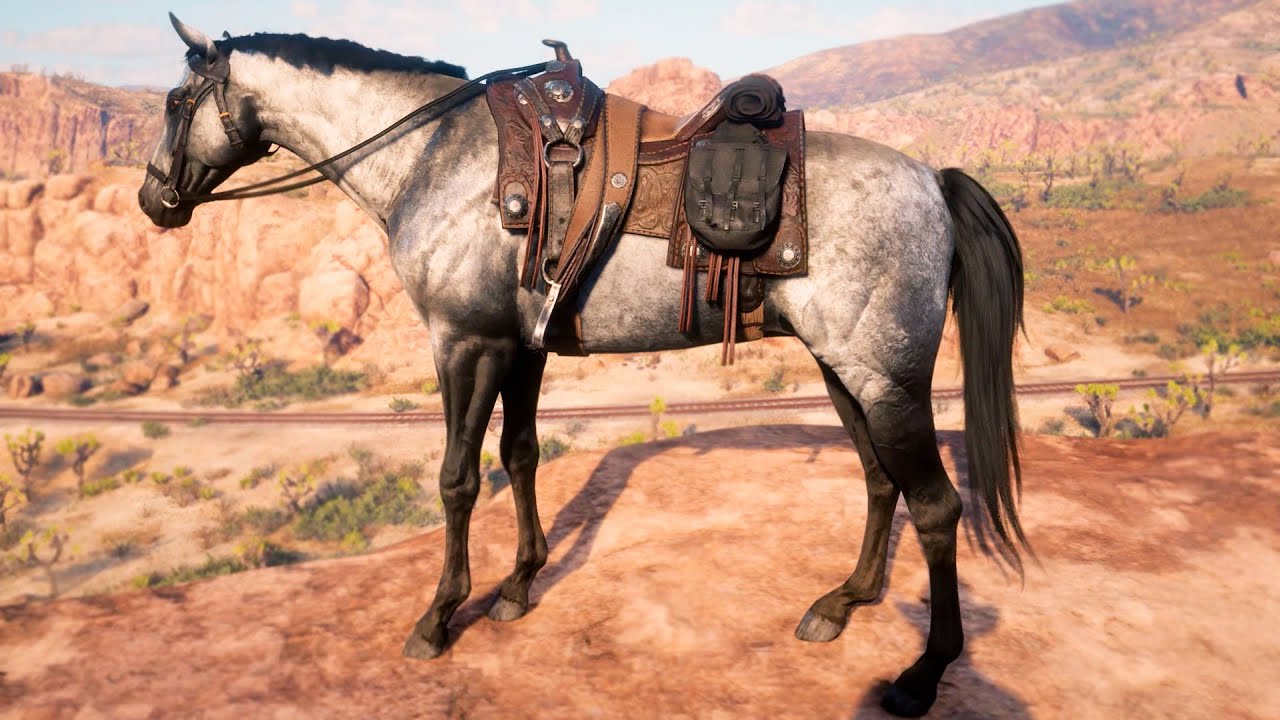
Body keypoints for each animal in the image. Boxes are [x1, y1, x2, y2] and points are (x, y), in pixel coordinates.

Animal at [138, 16, 1029, 717]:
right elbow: (522, 455)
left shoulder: (466, 343)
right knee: (880, 481)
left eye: (178, 103)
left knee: (936, 506)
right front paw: (520, 585)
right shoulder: (521, 344)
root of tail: (932, 179)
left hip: (888, 379)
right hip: (846, 370)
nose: (154, 200)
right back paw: (844, 602)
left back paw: (921, 675)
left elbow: (458, 479)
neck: (432, 156)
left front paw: (440, 615)